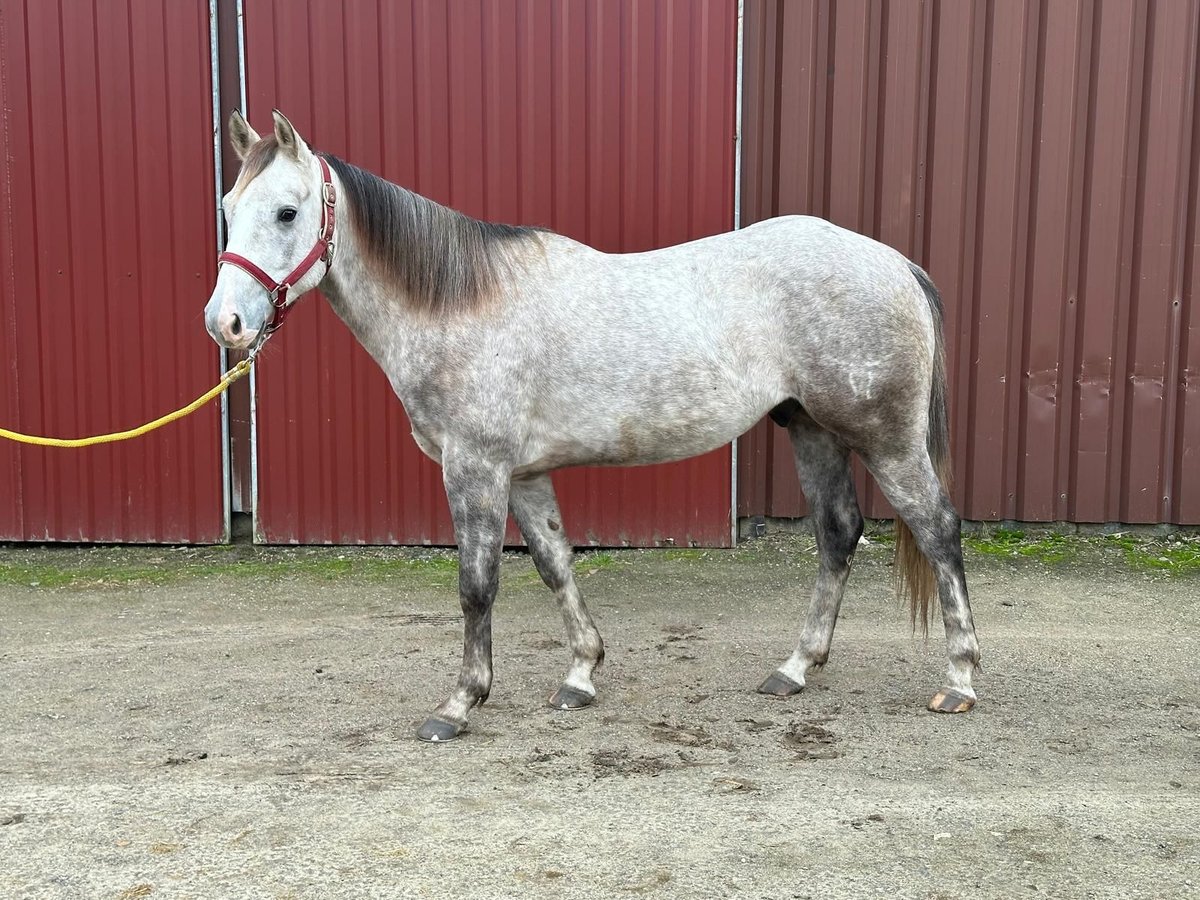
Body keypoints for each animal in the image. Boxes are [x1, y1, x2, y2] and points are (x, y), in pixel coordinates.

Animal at [201, 112, 979, 744]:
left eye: (287, 212)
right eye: (229, 208)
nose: (225, 324)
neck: (459, 304)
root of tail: (893, 263)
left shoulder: (475, 469)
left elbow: (476, 584)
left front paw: (459, 705)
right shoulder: (524, 473)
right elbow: (555, 563)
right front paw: (580, 675)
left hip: (886, 439)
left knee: (938, 530)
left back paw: (961, 681)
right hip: (810, 428)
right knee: (838, 532)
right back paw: (794, 668)